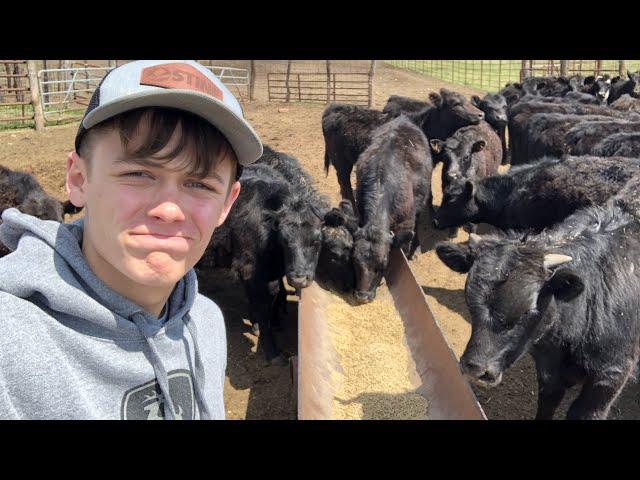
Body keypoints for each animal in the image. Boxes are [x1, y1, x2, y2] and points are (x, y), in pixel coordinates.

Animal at [438, 203, 640, 420]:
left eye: (529, 311)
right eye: (469, 300)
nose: (475, 368)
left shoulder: (610, 376)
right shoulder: (548, 370)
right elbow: (547, 402)